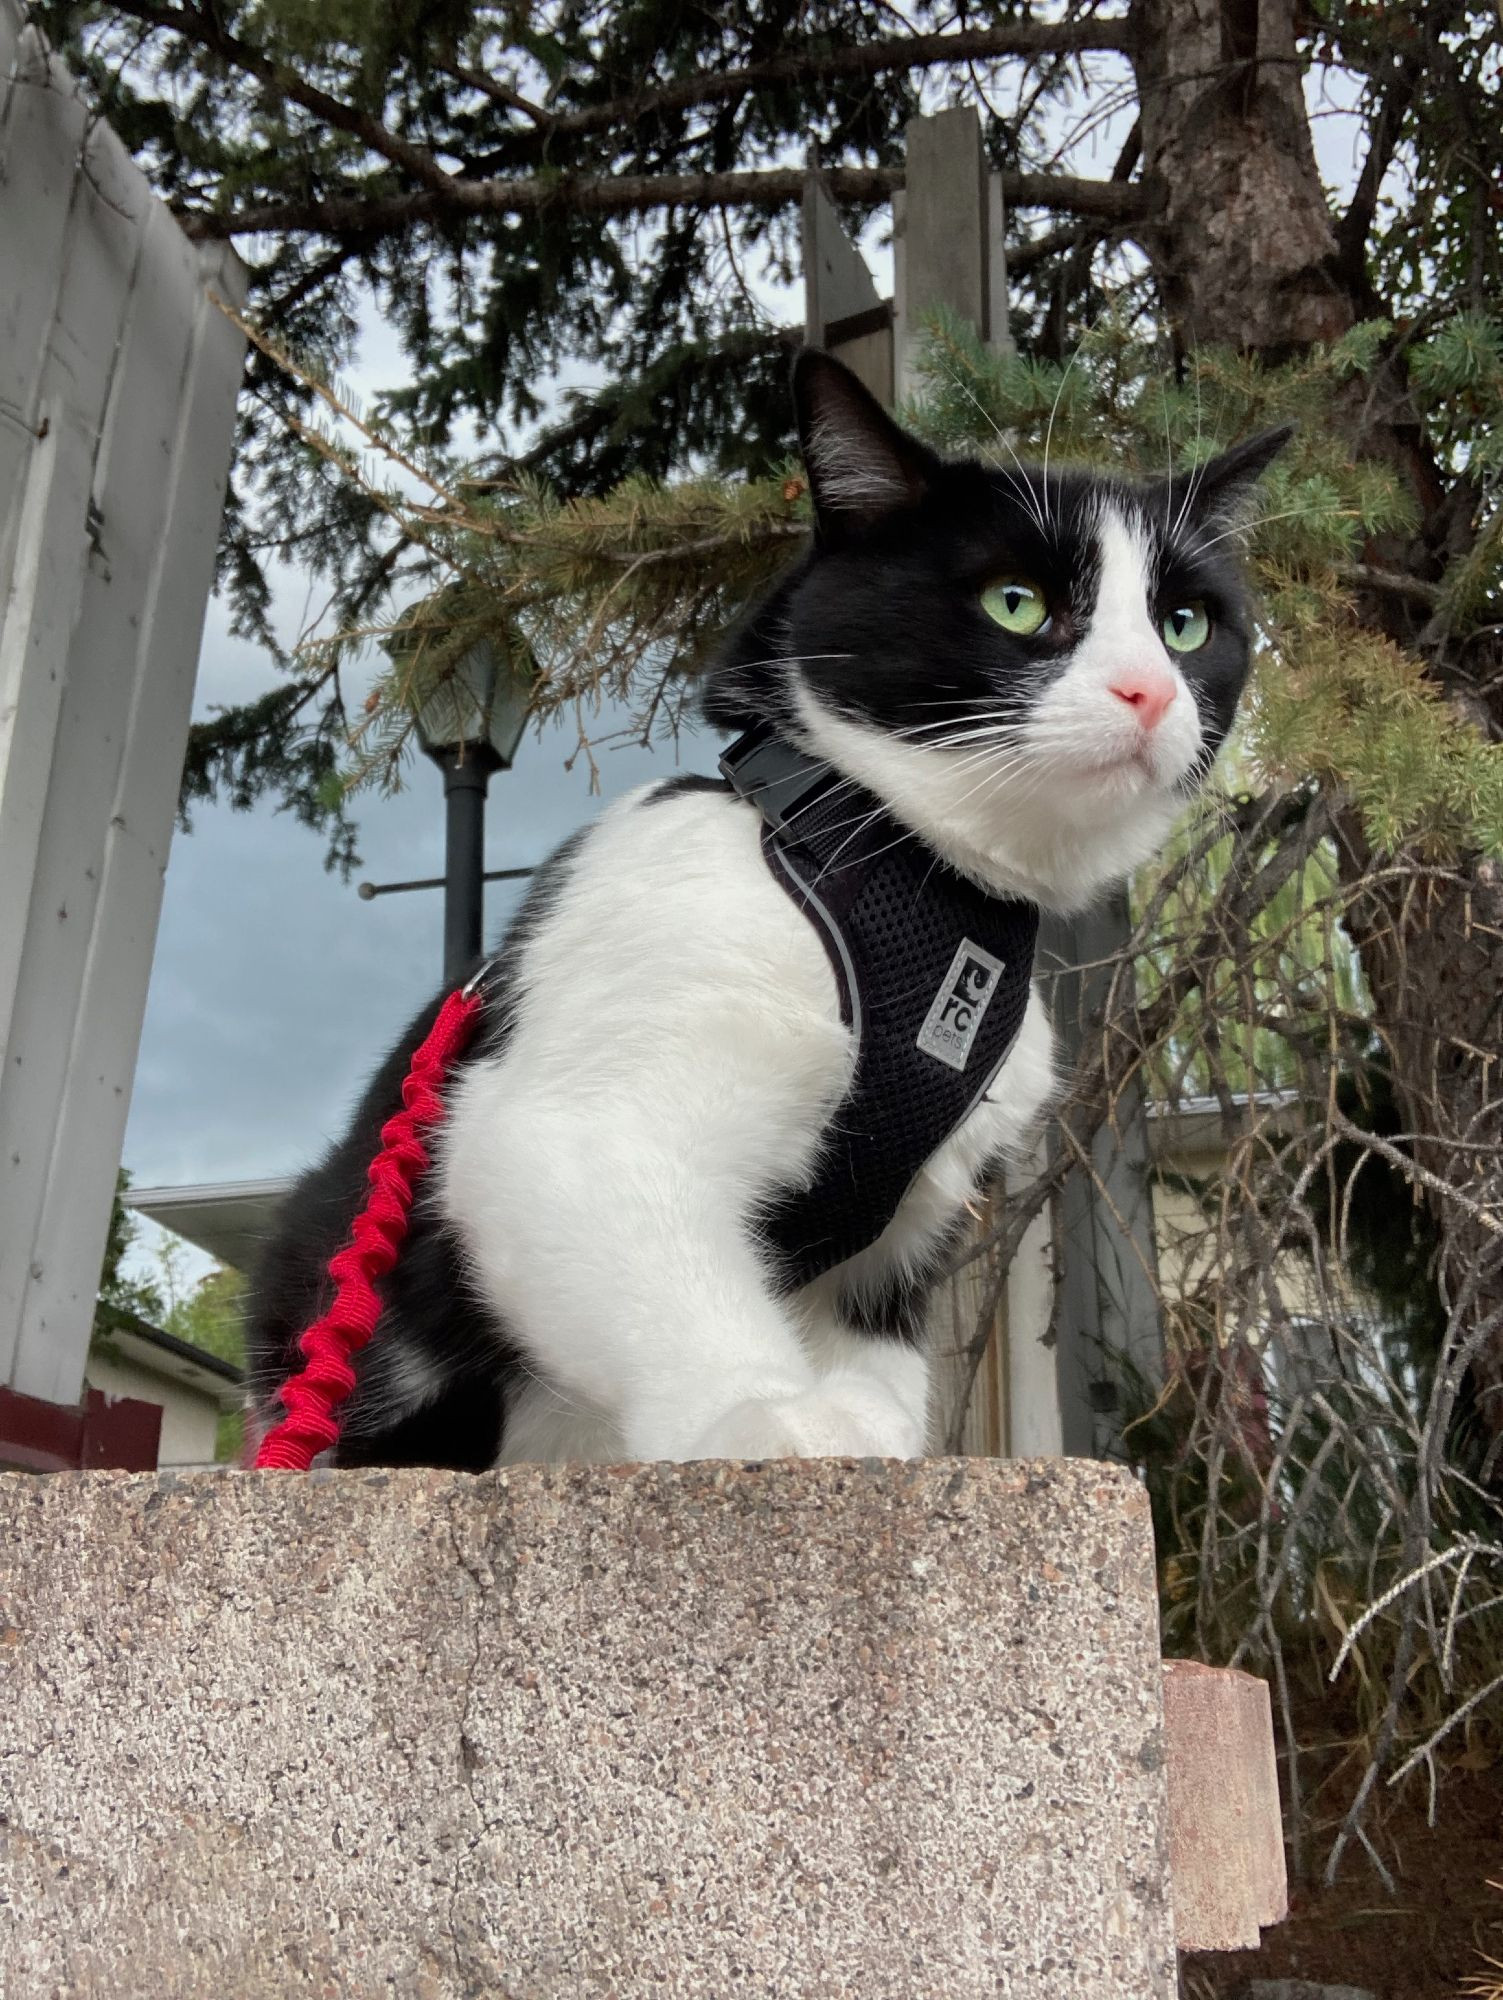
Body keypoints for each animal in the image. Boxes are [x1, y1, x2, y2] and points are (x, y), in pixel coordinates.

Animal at [249, 352, 1295, 1472]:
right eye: (1016, 603)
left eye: (1186, 623)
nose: (1150, 690)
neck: (907, 876)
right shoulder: (564, 1113)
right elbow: (660, 1257)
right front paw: (758, 1413)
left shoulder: (906, 1225)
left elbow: (875, 1344)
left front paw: (873, 1432)